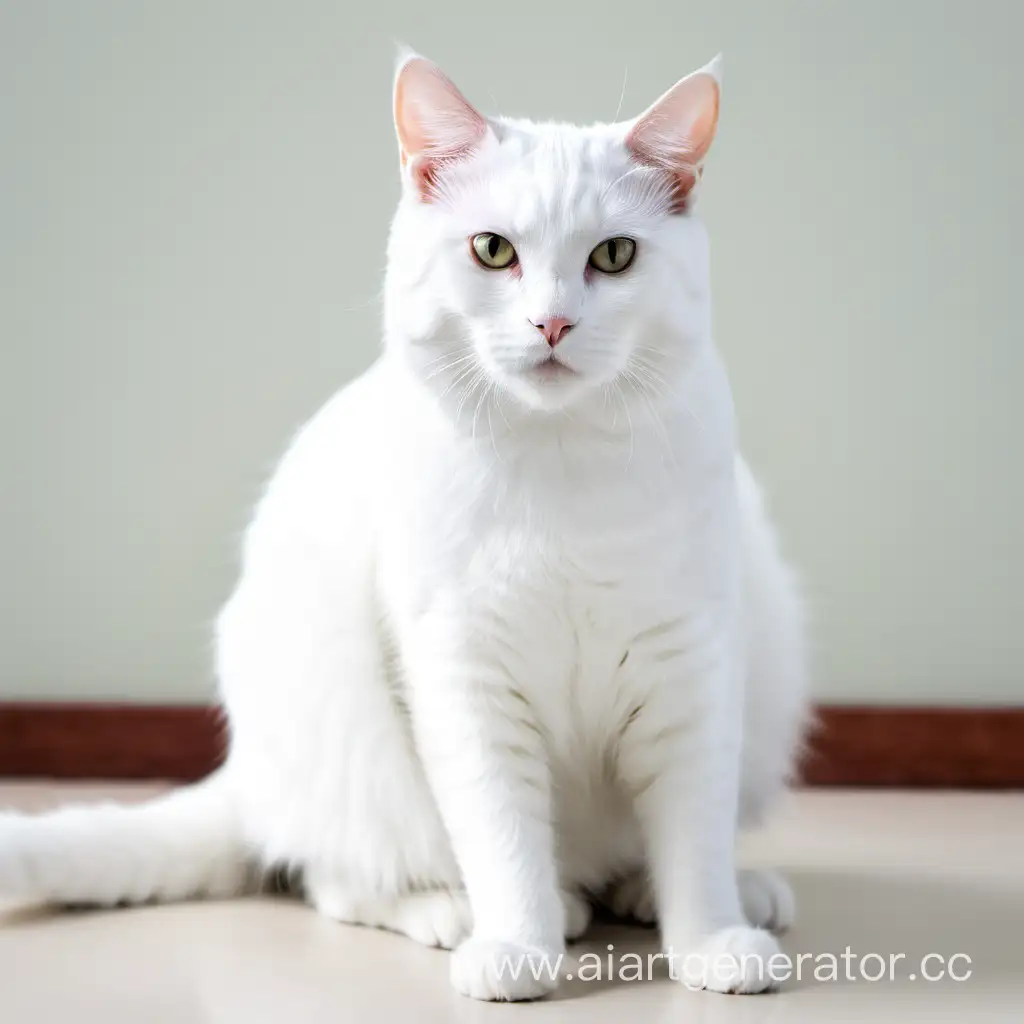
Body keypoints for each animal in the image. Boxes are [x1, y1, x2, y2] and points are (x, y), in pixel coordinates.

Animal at [0, 54, 806, 999]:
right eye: (493, 250)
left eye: (614, 255)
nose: (553, 322)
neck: (560, 460)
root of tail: (248, 774)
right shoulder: (462, 673)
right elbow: (501, 833)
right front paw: (517, 946)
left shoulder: (691, 662)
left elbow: (693, 830)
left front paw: (713, 938)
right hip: (336, 720)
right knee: (340, 878)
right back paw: (472, 911)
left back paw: (701, 893)